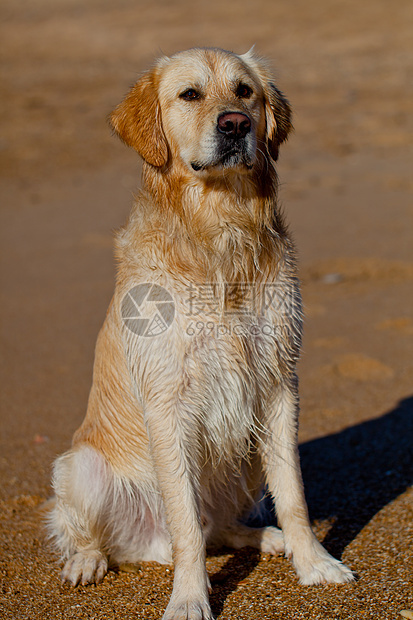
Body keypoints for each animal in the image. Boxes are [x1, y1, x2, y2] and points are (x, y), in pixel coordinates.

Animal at [47, 46, 350, 616]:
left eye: (244, 92)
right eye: (190, 94)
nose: (235, 124)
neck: (220, 229)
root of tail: (148, 545)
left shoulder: (279, 384)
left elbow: (294, 495)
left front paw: (314, 562)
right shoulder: (167, 399)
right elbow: (185, 520)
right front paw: (189, 598)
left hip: (246, 453)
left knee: (219, 527)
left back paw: (266, 538)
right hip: (80, 468)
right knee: (119, 533)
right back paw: (86, 561)